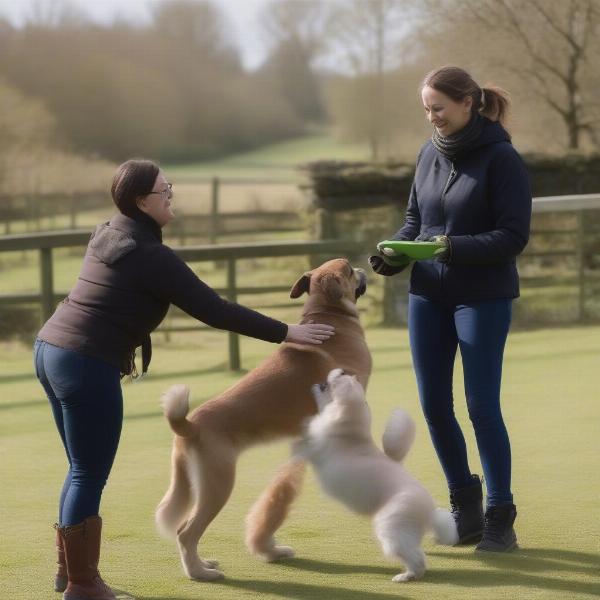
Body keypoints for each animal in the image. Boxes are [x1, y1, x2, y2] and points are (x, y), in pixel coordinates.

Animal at [155, 258, 372, 580]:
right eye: (347, 269)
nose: (362, 267)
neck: (330, 316)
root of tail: (190, 425)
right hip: (217, 485)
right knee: (187, 532)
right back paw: (200, 573)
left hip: (188, 484)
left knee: (184, 529)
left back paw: (203, 564)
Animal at [296, 368, 460, 584]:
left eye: (325, 386)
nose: (315, 384)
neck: (350, 433)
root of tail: (429, 512)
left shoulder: (316, 449)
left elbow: (305, 442)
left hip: (391, 528)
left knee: (415, 559)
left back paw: (405, 576)